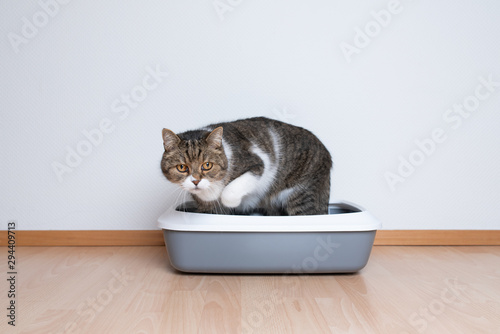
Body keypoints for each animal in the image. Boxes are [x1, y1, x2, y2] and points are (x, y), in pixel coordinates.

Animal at [160, 117, 332, 215]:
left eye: (207, 165)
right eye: (182, 167)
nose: (195, 181)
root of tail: (327, 153)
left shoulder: (258, 163)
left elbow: (229, 193)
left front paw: (233, 202)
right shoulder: (209, 209)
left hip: (304, 195)